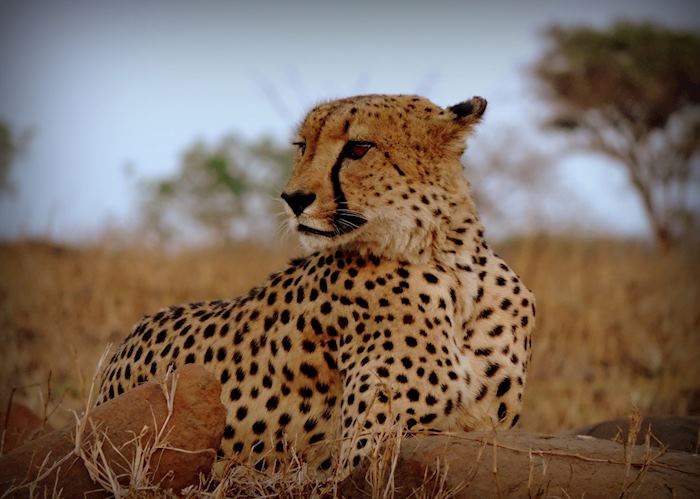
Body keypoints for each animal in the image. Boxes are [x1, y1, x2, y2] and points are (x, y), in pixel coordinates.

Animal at [98, 93, 536, 476]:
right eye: (302, 145)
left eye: (358, 148)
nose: (293, 198)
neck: (452, 265)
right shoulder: (367, 451)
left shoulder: (484, 431)